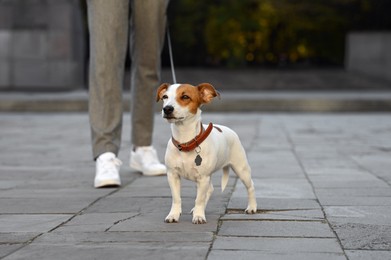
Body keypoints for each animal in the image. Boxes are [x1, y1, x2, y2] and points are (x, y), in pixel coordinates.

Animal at [156, 83, 258, 223]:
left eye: (185, 96)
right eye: (165, 97)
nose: (167, 109)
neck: (185, 141)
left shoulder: (203, 177)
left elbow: (199, 199)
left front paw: (199, 216)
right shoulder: (173, 175)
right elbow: (176, 198)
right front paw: (174, 215)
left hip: (241, 169)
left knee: (250, 186)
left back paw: (252, 207)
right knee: (209, 190)